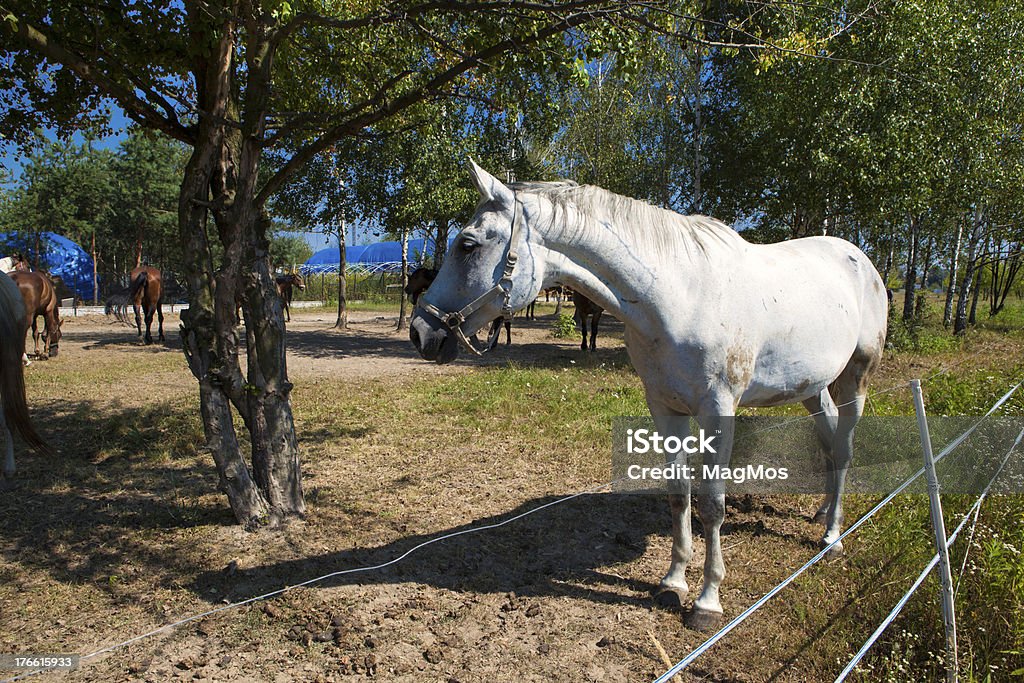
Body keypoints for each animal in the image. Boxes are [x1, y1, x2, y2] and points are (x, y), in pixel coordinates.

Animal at [409, 160, 888, 630]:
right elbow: (679, 494)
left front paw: (707, 602)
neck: (681, 296)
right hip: (813, 387)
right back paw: (822, 513)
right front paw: (673, 582)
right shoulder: (665, 407)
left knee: (844, 448)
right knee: (829, 442)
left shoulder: (718, 410)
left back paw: (832, 536)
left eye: (467, 245)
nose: (421, 332)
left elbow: (712, 503)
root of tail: (860, 259)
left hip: (857, 376)